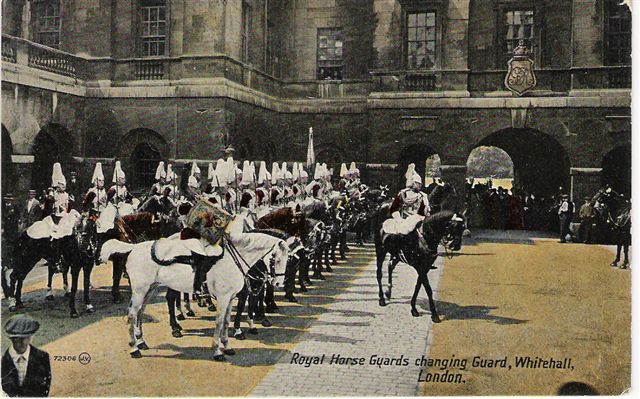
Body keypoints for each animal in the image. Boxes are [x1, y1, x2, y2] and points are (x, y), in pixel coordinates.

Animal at [100, 219, 290, 362]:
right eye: (276, 259)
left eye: (288, 258)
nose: (278, 282)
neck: (232, 259)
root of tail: (134, 247)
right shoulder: (223, 298)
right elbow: (219, 322)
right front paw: (217, 351)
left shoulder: (230, 299)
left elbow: (227, 322)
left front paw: (227, 346)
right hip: (140, 290)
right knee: (132, 314)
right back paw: (134, 348)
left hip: (149, 289)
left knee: (140, 312)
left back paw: (141, 342)